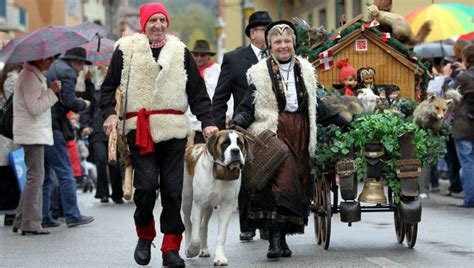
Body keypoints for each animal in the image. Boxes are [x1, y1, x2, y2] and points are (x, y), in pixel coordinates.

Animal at [181, 130, 248, 266]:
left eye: (240, 143)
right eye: (225, 143)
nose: (235, 151)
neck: (220, 173)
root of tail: (190, 148)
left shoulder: (227, 206)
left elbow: (221, 235)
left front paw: (220, 258)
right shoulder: (198, 204)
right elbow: (195, 236)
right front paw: (192, 250)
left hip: (208, 207)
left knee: (203, 226)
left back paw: (204, 249)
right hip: (187, 198)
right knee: (188, 223)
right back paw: (188, 247)